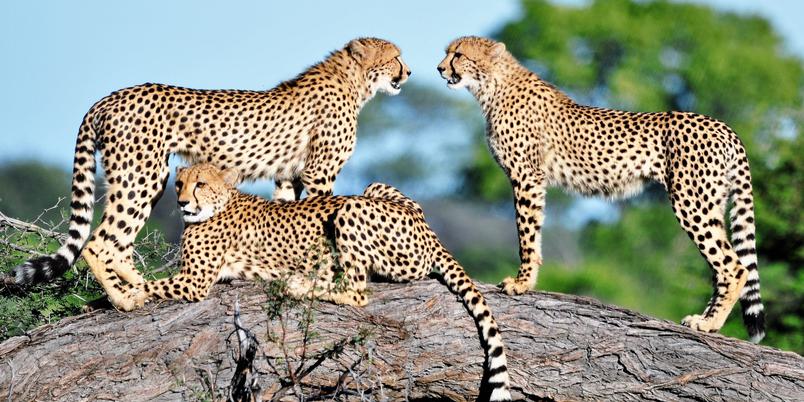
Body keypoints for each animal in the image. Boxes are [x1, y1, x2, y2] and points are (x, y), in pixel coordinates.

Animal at [10, 38, 411, 312]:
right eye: (395, 56)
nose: (408, 72)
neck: (353, 82)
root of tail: (110, 96)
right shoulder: (319, 172)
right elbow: (320, 211)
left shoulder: (287, 175)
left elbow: (288, 214)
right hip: (142, 173)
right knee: (100, 243)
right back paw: (125, 300)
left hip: (146, 178)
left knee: (119, 245)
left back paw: (139, 285)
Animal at [111, 163, 511, 400]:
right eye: (178, 183)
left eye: (200, 184)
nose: (180, 201)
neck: (222, 203)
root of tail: (429, 231)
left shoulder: (193, 282)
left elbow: (147, 284)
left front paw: (120, 292)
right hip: (374, 187)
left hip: (351, 209)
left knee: (356, 291)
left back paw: (299, 284)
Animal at [437, 36, 765, 342]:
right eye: (447, 52)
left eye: (459, 55)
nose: (440, 69)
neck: (492, 85)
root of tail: (724, 126)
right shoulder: (533, 180)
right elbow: (534, 232)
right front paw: (527, 281)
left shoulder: (527, 177)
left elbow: (526, 235)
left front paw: (522, 283)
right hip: (712, 201)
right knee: (721, 265)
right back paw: (706, 318)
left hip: (691, 202)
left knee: (734, 267)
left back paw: (709, 324)